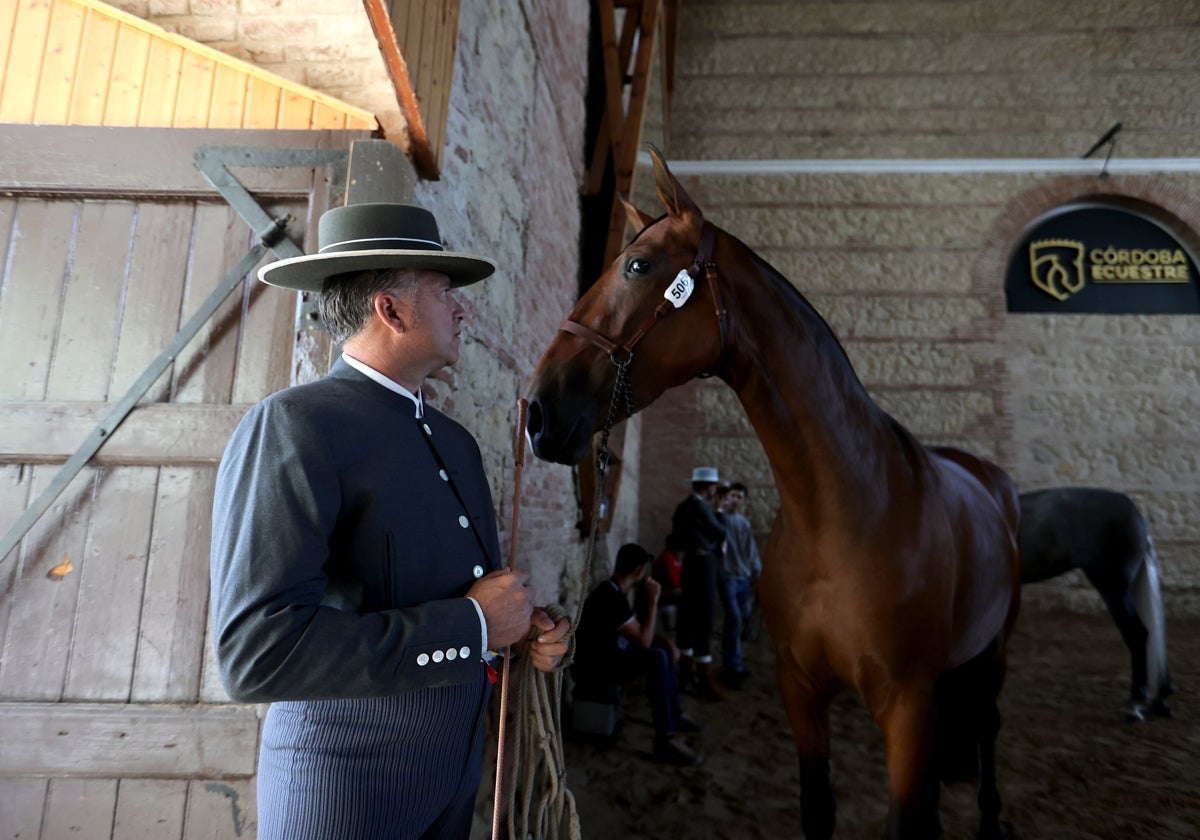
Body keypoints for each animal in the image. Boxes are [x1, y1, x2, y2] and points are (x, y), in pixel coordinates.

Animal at [528, 147, 1022, 835]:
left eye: (638, 264)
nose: (537, 410)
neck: (845, 517)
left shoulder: (907, 707)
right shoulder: (801, 692)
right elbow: (819, 810)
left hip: (994, 653)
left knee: (989, 724)